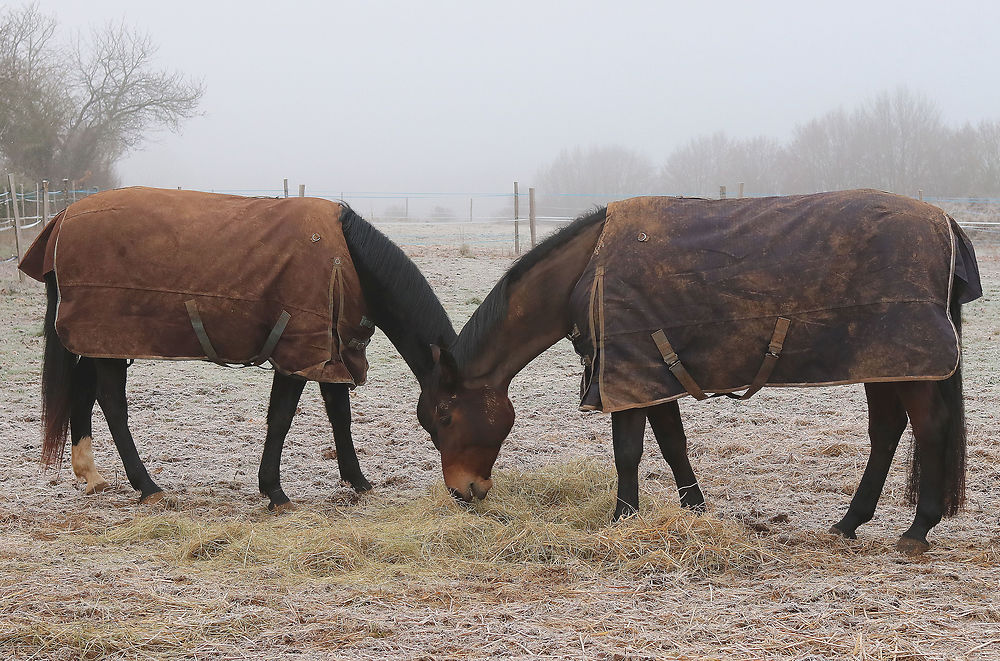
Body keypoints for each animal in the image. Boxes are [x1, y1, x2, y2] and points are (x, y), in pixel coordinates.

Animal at [21, 187, 456, 510]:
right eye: (446, 413)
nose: (464, 492)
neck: (346, 257)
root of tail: (63, 218)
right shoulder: (298, 354)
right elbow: (281, 418)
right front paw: (275, 491)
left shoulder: (326, 352)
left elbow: (339, 417)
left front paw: (358, 481)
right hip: (107, 341)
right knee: (112, 404)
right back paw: (147, 486)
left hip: (99, 343)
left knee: (83, 391)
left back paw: (92, 476)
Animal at [418, 189, 980, 552]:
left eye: (444, 416)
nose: (463, 492)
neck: (587, 271)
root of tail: (944, 222)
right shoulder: (651, 373)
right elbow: (671, 443)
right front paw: (693, 510)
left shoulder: (629, 372)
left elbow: (628, 451)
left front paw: (623, 519)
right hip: (883, 362)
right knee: (887, 431)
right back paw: (849, 522)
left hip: (910, 366)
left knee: (929, 429)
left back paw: (918, 529)